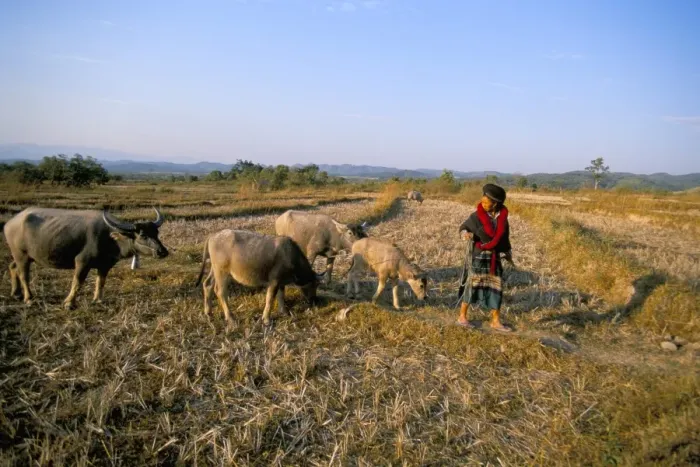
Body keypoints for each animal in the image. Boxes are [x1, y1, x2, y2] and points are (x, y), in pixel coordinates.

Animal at [2, 207, 168, 309]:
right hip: (21, 255)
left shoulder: (105, 265)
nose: (163, 252)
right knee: (24, 274)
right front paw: (69, 303)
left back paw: (16, 293)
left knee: (12, 267)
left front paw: (98, 299)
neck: (109, 237)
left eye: (156, 233)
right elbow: (78, 282)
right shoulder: (82, 262)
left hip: (23, 256)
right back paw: (28, 298)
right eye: (143, 235)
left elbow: (101, 282)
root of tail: (10, 223)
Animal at [194, 229, 326, 326]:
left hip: (214, 269)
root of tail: (213, 236)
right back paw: (230, 317)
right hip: (222, 272)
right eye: (315, 285)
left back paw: (208, 312)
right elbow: (270, 298)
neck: (291, 257)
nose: (315, 300)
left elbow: (281, 296)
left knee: (207, 285)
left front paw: (284, 312)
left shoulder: (281, 282)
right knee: (220, 291)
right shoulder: (274, 281)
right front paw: (266, 319)